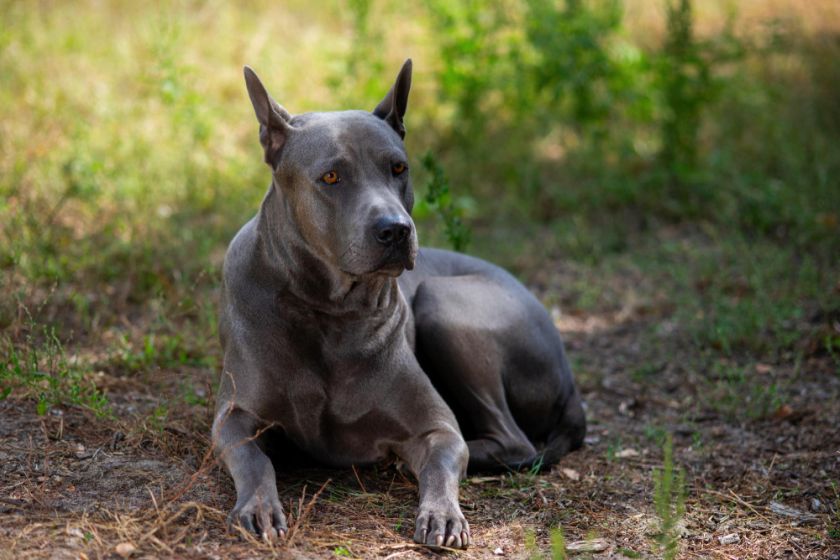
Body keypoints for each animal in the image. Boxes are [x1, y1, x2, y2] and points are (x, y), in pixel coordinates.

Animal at [212, 59, 584, 548]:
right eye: (331, 176)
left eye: (398, 167)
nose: (396, 229)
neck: (329, 310)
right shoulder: (233, 416)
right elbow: (253, 458)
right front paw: (258, 506)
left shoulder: (438, 428)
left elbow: (444, 459)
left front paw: (442, 512)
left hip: (443, 304)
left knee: (513, 442)